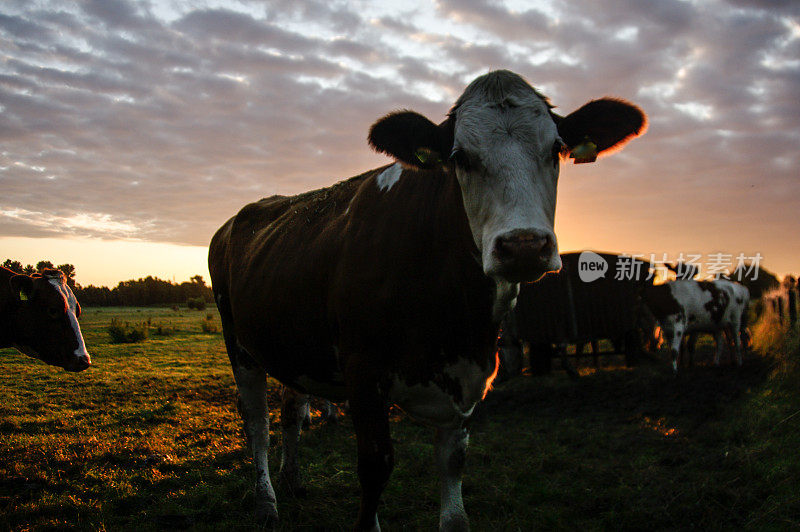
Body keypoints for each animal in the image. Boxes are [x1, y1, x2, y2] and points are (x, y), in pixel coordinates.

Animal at [208, 71, 644, 532]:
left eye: (555, 150)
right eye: (460, 157)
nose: (524, 246)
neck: (456, 317)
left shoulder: (468, 379)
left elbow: (454, 477)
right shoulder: (363, 371)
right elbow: (375, 466)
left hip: (293, 345)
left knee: (291, 408)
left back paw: (292, 480)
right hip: (238, 344)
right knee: (256, 422)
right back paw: (265, 501)